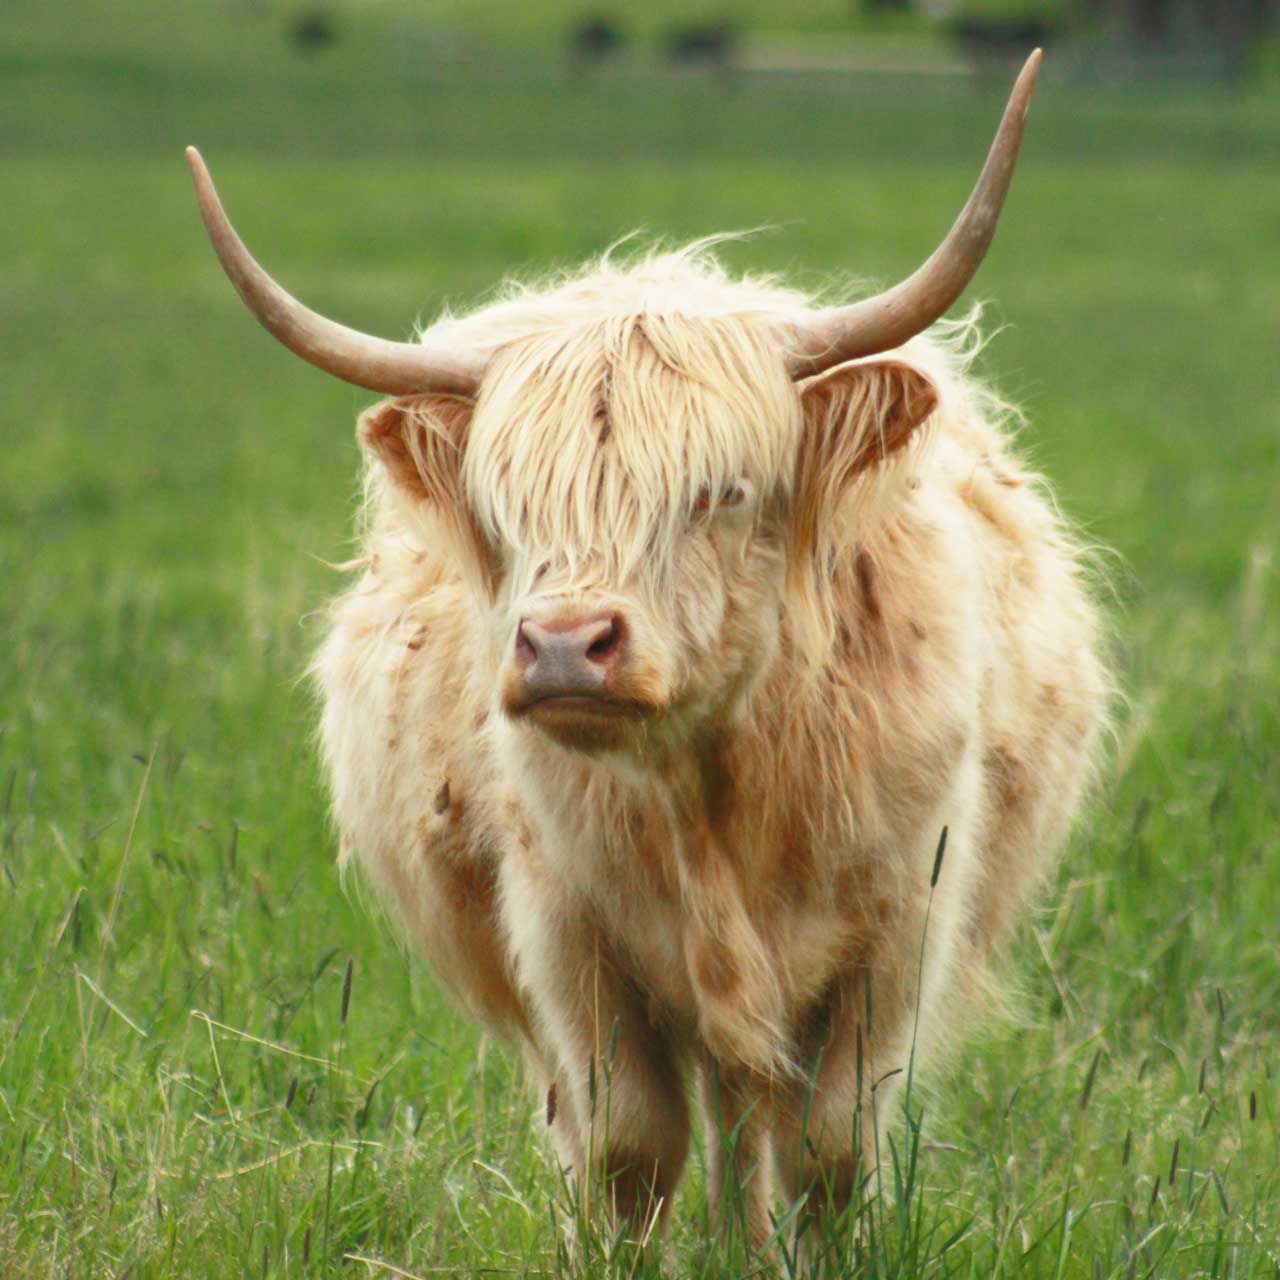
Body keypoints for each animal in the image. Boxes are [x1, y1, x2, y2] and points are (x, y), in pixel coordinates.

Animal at [186, 55, 1111, 1244]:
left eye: (719, 491)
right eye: (507, 505)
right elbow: (626, 1145)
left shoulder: (900, 928)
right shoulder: (567, 937)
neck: (715, 786)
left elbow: (828, 1150)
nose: (564, 647)